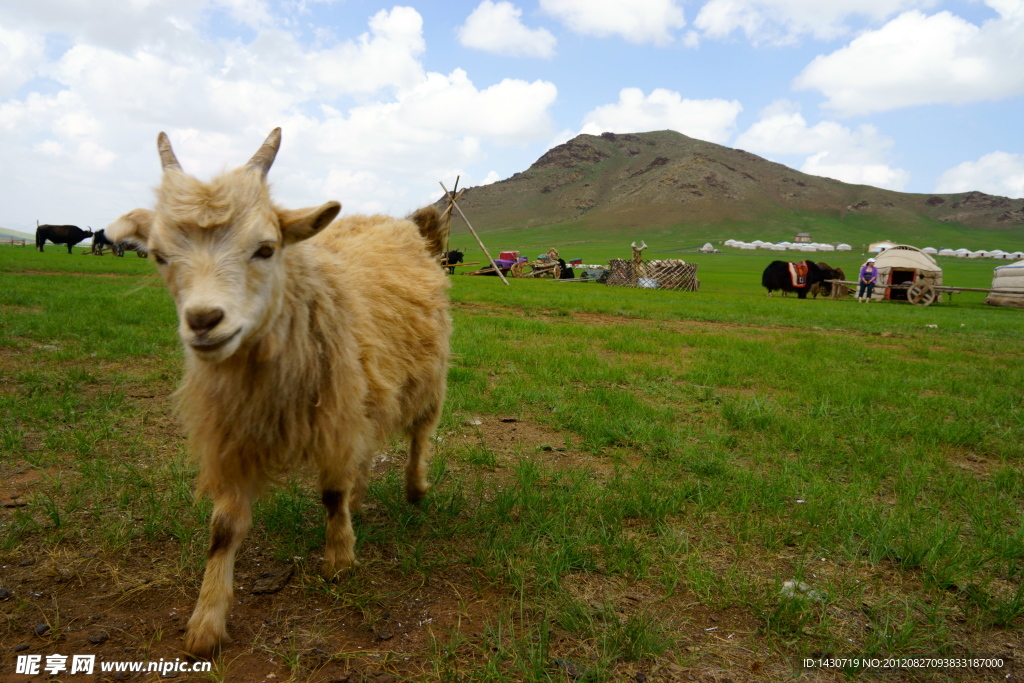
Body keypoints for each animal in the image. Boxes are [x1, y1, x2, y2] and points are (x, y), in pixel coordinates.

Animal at [105, 129, 450, 663]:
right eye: (158, 255)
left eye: (265, 249)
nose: (204, 321)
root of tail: (398, 224)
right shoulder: (233, 435)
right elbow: (224, 528)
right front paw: (206, 620)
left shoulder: (334, 416)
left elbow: (331, 493)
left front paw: (339, 558)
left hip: (426, 379)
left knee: (419, 434)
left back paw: (415, 488)